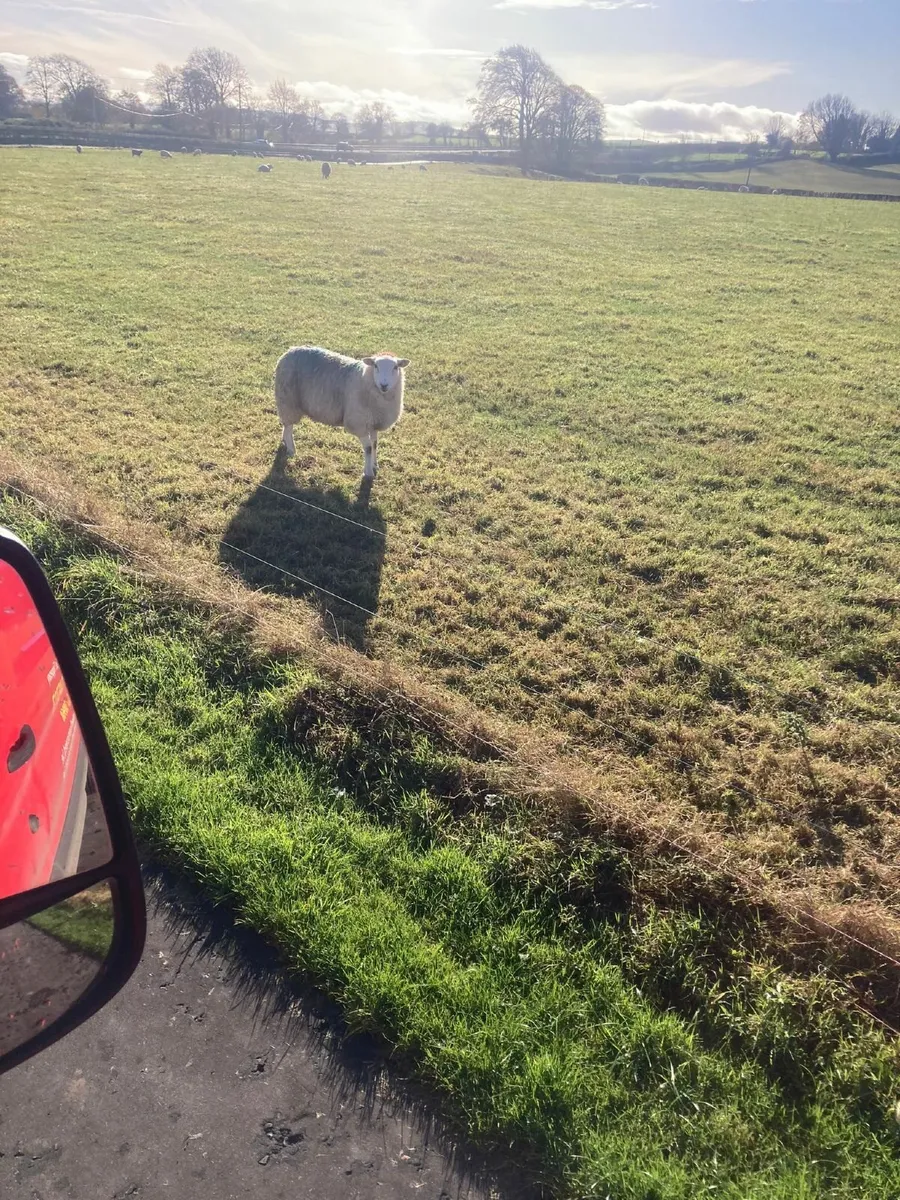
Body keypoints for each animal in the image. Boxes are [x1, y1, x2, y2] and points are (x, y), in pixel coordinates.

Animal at [275, 346, 410, 480]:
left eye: (395, 367)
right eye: (376, 366)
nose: (384, 385)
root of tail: (290, 351)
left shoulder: (373, 423)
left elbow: (375, 444)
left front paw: (375, 465)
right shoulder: (358, 423)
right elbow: (368, 448)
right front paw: (368, 472)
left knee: (286, 425)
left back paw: (285, 443)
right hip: (288, 401)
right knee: (289, 427)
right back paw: (291, 449)